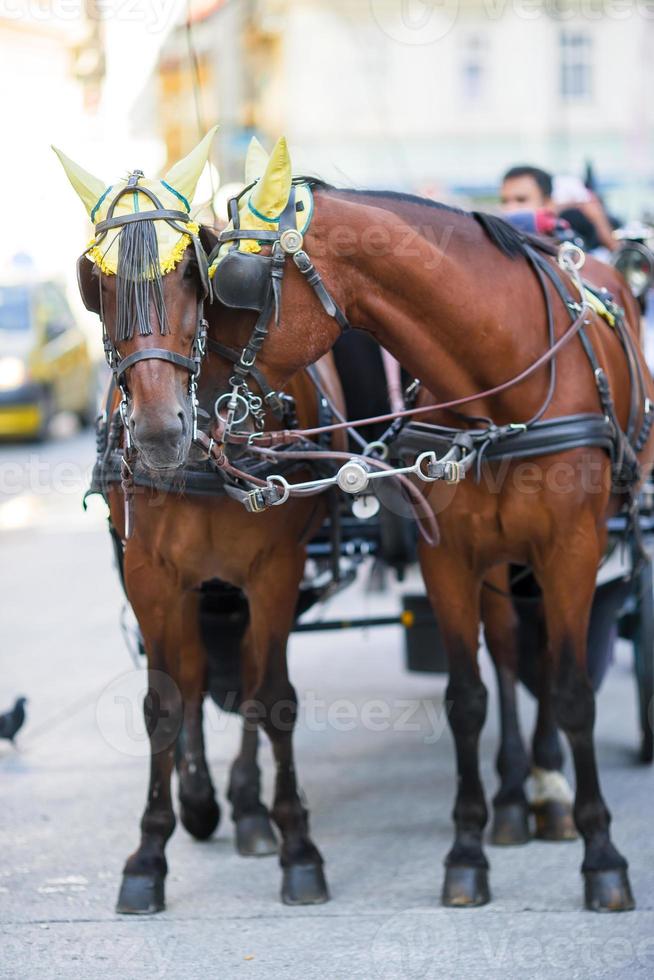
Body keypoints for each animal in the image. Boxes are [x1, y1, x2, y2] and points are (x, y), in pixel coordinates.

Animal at [208, 144, 652, 912]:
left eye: (242, 293)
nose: (205, 419)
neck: (499, 382)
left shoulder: (572, 549)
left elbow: (572, 691)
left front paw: (603, 859)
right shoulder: (450, 557)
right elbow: (467, 698)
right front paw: (468, 850)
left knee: (551, 659)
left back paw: (548, 790)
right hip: (498, 559)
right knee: (507, 648)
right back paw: (516, 798)